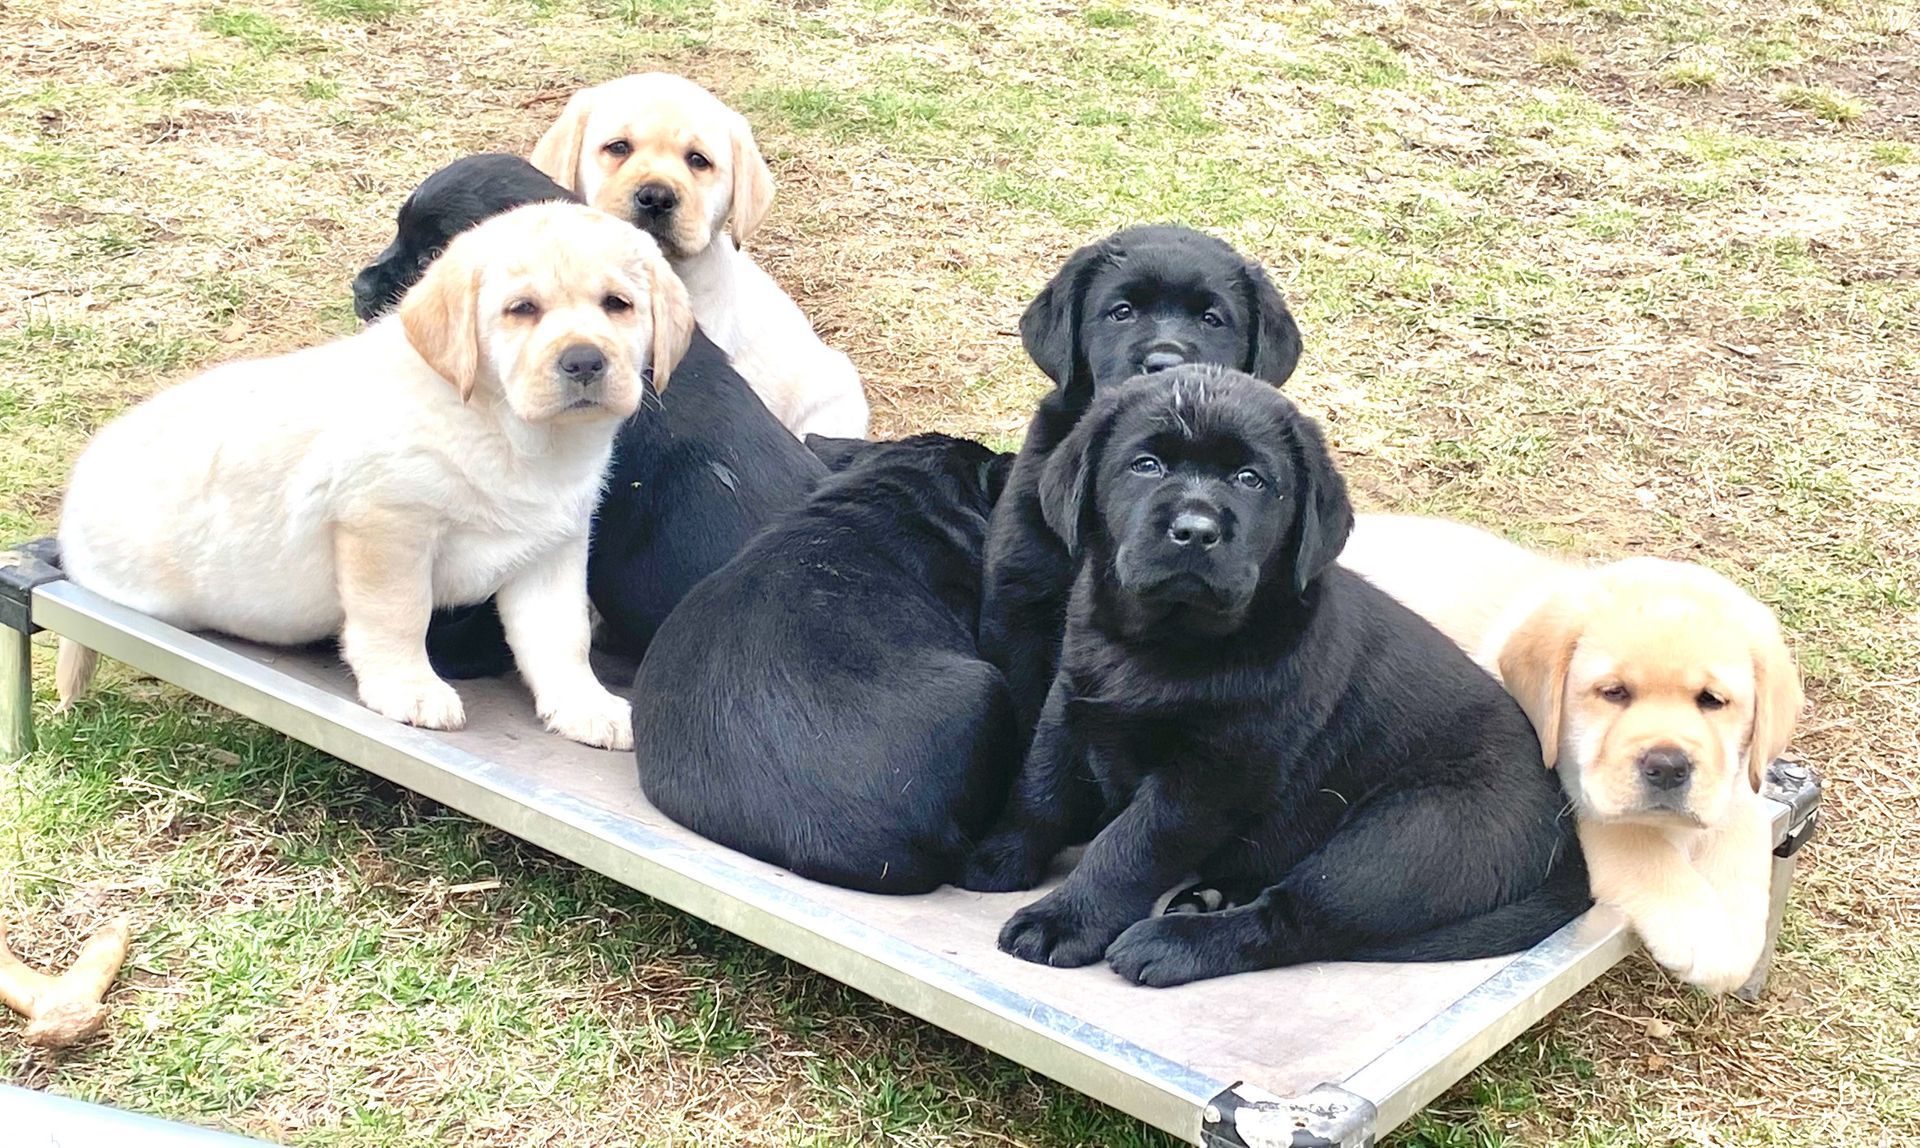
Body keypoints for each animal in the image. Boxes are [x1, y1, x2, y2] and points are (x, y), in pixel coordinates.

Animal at [57, 204, 693, 749]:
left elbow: (561, 637)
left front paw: (584, 705)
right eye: (522, 310)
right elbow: (398, 616)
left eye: (617, 304)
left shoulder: (552, 549)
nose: (584, 361)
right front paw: (410, 688)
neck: (509, 432)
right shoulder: (386, 527)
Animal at [961, 367, 1588, 986]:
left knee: (1296, 919)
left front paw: (1064, 919)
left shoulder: (1214, 772)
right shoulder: (1071, 702)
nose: (1196, 530)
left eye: (1250, 479)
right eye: (1146, 465)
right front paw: (999, 855)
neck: (1167, 645)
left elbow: (1130, 845)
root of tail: (1566, 835)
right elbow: (1041, 786)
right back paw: (1210, 896)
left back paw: (1174, 943)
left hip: (1409, 836)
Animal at [1341, 515, 1802, 992]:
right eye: (1613, 692)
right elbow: (1634, 841)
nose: (1668, 766)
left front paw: (1737, 930)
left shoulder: (1731, 782)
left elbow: (1743, 833)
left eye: (1712, 700)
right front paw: (1700, 930)